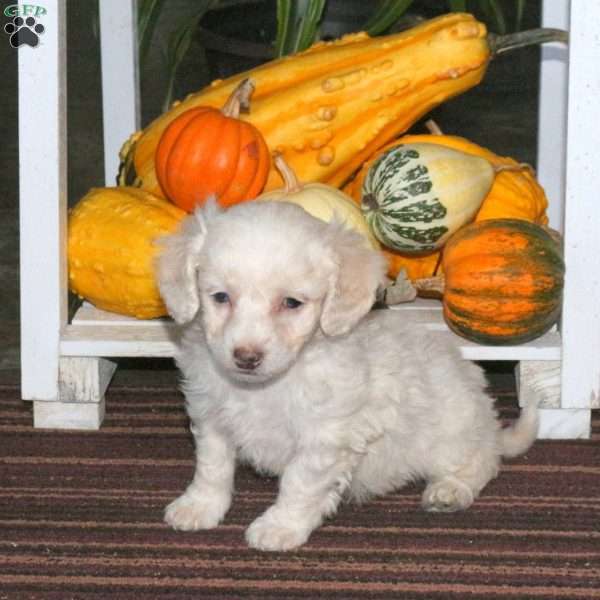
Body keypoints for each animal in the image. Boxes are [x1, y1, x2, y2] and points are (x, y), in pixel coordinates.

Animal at [156, 199, 540, 552]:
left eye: (291, 303)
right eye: (221, 297)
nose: (246, 358)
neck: (267, 387)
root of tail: (490, 426)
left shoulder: (325, 437)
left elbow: (299, 483)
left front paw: (279, 527)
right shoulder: (210, 416)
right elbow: (212, 467)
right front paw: (199, 507)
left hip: (451, 436)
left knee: (481, 463)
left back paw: (449, 491)